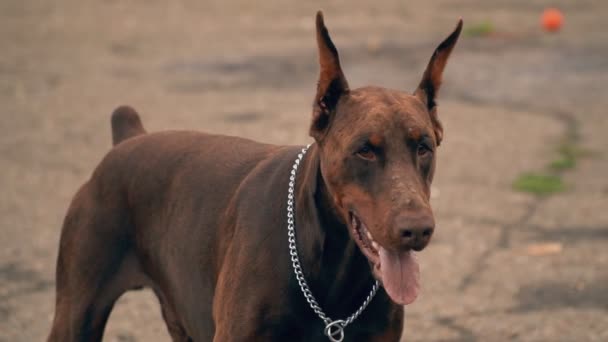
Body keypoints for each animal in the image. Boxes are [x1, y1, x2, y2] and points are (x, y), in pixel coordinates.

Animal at [48, 11, 460, 342]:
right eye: (365, 150)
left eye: (424, 147)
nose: (418, 230)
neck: (332, 266)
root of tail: (126, 140)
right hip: (77, 312)